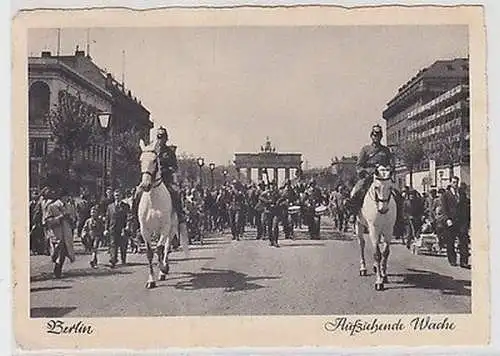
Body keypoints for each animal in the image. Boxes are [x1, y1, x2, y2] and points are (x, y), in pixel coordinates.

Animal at [138, 139, 188, 290]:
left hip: (171, 228)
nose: (145, 185)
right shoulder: (145, 230)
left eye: (155, 160)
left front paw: (163, 269)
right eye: (140, 160)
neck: (153, 200)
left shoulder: (165, 228)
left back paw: (164, 268)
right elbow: (150, 252)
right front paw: (151, 280)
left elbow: (159, 249)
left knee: (167, 246)